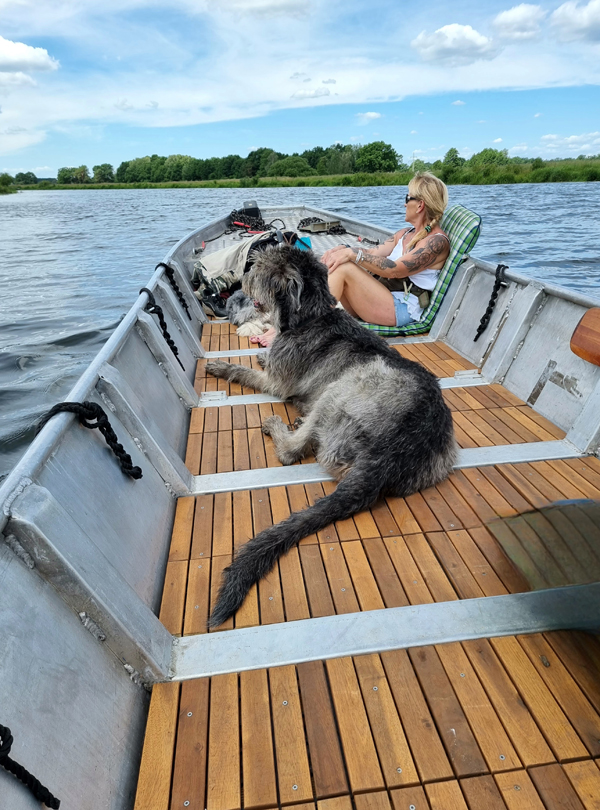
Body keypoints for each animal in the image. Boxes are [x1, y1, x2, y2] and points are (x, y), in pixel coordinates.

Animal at [205, 245, 457, 627]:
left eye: (260, 267)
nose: (242, 277)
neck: (310, 317)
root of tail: (394, 451)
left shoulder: (277, 382)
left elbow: (246, 371)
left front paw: (224, 366)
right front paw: (260, 352)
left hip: (340, 388)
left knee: (292, 452)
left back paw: (280, 427)